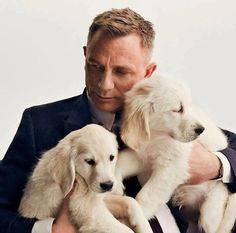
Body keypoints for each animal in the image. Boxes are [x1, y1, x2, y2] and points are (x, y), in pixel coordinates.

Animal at [19, 124, 153, 233]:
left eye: (111, 157)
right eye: (89, 161)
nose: (108, 185)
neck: (79, 179)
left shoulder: (99, 199)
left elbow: (130, 201)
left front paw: (143, 226)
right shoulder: (86, 208)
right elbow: (124, 230)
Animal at [116, 75, 236, 233]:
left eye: (188, 106)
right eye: (178, 109)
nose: (201, 129)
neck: (157, 137)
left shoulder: (172, 167)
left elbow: (146, 196)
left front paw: (131, 221)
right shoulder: (142, 155)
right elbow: (121, 162)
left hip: (213, 207)